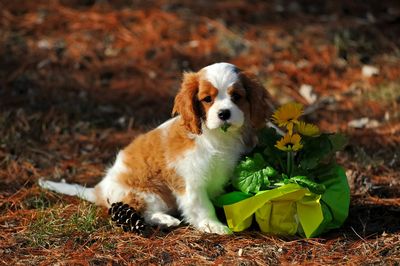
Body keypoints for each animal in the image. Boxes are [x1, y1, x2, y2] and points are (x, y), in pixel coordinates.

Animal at [39, 62, 272, 235]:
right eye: (207, 99)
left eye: (236, 97)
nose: (224, 113)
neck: (215, 136)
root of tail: (100, 189)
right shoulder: (190, 181)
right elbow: (201, 205)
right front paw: (212, 225)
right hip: (150, 193)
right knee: (142, 211)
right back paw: (165, 220)